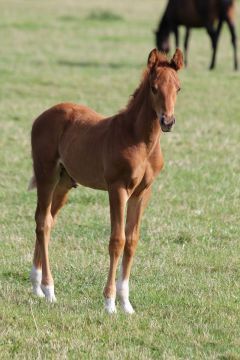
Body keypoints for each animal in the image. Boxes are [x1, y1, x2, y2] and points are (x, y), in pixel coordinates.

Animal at [30, 49, 184, 314]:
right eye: (154, 88)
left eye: (178, 88)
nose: (167, 121)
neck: (139, 139)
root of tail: (42, 116)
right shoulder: (117, 188)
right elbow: (117, 240)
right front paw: (110, 302)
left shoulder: (143, 192)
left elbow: (132, 241)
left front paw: (126, 304)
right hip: (46, 175)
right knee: (42, 222)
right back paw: (49, 289)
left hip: (64, 182)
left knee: (48, 220)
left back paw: (37, 285)